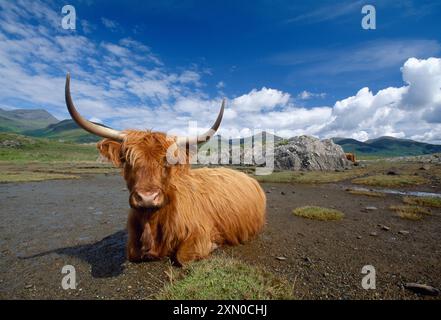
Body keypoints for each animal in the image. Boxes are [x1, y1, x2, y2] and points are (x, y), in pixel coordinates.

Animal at [64, 73, 264, 264]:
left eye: (168, 162)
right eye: (128, 159)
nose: (147, 198)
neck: (151, 224)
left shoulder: (200, 231)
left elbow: (183, 256)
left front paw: (214, 244)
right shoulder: (133, 244)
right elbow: (132, 253)